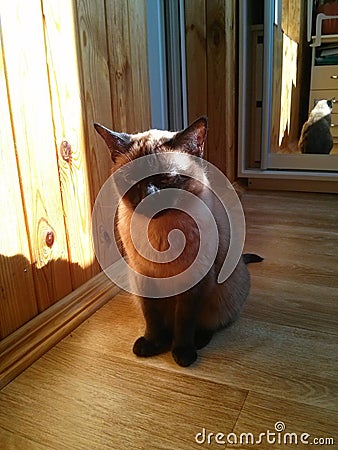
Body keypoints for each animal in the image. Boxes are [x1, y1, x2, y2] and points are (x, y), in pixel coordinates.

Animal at [93, 117, 262, 366]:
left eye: (166, 177)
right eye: (131, 179)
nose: (148, 195)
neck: (160, 234)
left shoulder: (194, 283)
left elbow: (184, 321)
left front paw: (182, 353)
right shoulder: (144, 279)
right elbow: (152, 318)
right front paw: (153, 344)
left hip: (221, 295)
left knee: (209, 323)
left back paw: (196, 342)